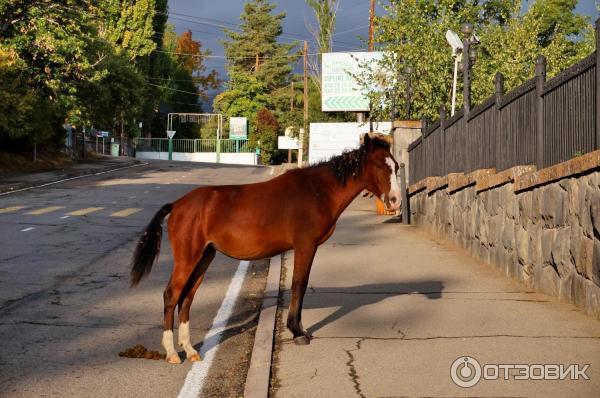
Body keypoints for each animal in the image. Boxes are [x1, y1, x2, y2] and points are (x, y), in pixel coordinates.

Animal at [132, 134, 404, 364]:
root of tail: (177, 204)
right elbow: (299, 284)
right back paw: (171, 352)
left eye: (396, 166)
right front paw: (297, 331)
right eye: (379, 165)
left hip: (204, 257)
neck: (318, 191)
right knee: (171, 295)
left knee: (187, 297)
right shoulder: (305, 246)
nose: (395, 201)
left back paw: (189, 350)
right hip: (187, 258)